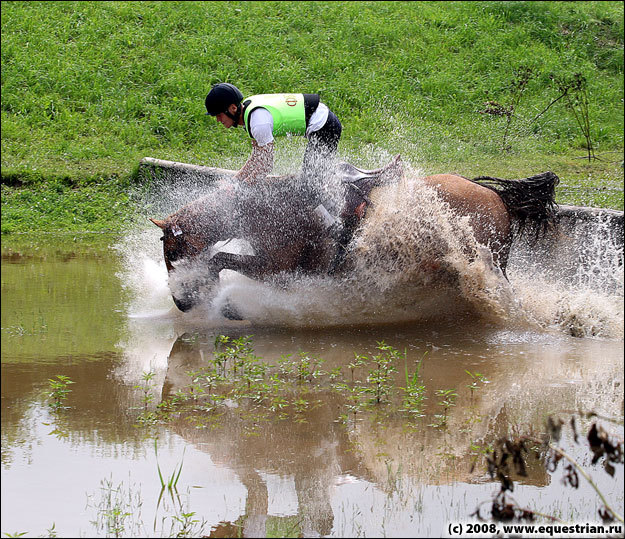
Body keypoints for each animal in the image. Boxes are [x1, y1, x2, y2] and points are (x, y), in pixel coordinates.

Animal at [150, 156, 556, 314]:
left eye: (172, 253)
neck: (269, 206)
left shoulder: (275, 268)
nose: (181, 303)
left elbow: (219, 259)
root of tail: (496, 197)